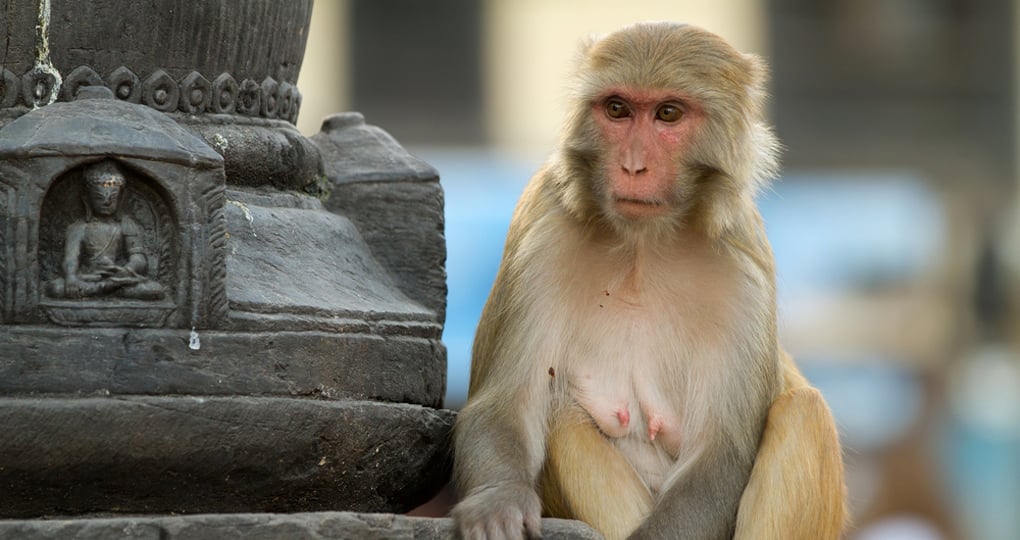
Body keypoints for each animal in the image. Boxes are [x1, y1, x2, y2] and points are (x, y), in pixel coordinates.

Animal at [451, 22, 846, 540]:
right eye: (617, 109)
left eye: (668, 114)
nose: (633, 166)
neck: (643, 245)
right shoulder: (541, 230)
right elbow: (503, 407)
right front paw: (498, 501)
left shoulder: (745, 265)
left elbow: (719, 457)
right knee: (562, 418)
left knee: (804, 412)